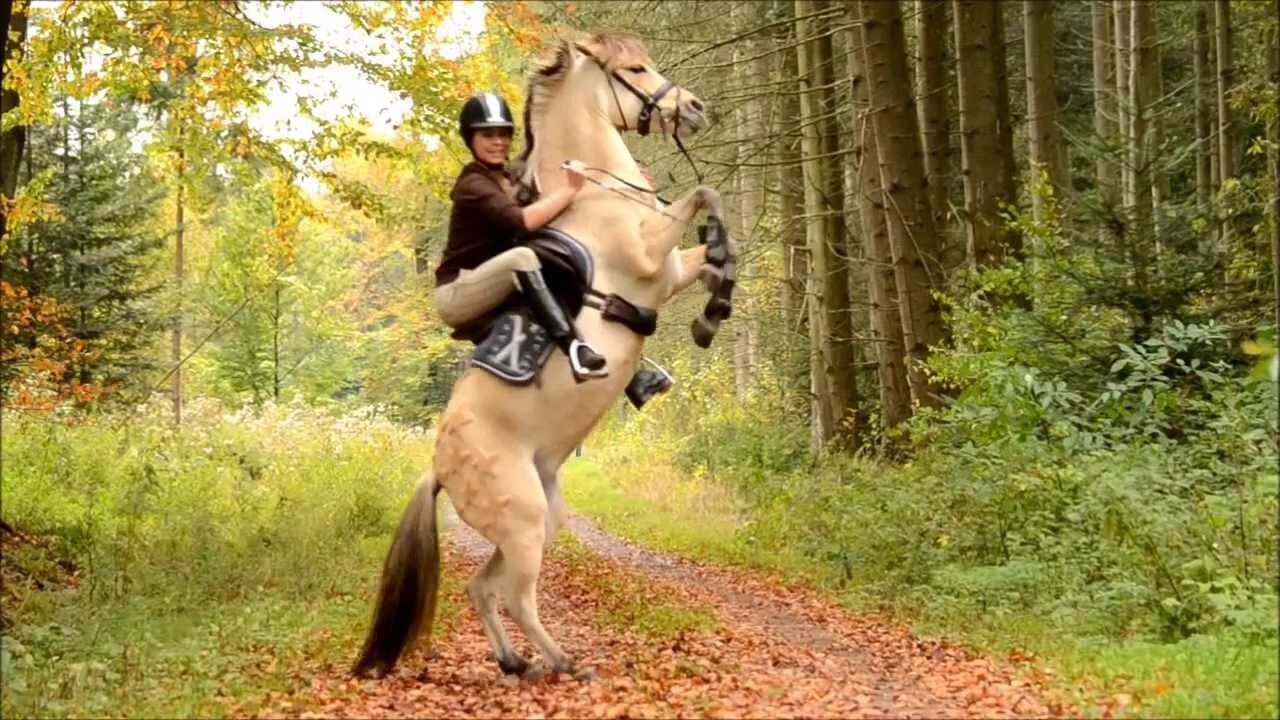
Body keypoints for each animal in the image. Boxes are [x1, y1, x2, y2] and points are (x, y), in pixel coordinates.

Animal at [352, 31, 735, 680]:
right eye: (636, 68)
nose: (695, 108)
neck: (598, 192)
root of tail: (439, 468)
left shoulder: (669, 271)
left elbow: (710, 249)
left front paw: (715, 305)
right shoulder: (649, 258)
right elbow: (702, 197)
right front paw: (715, 302)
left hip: (539, 516)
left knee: (484, 587)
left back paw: (515, 661)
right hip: (524, 517)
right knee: (516, 596)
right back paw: (564, 660)